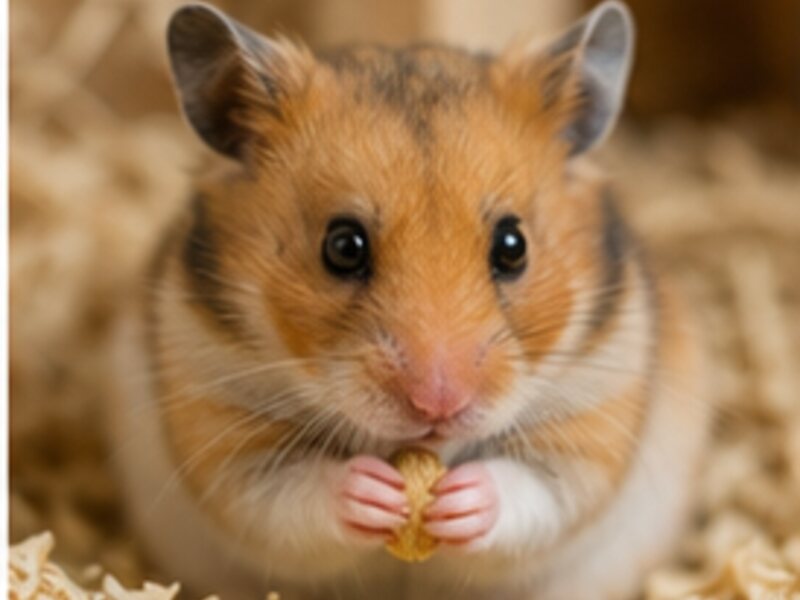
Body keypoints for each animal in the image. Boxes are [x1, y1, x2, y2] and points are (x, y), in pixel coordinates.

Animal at [109, 2, 711, 599]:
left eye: (513, 245)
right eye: (343, 246)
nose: (437, 406)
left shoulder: (593, 422)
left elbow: (535, 491)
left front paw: (460, 500)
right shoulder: (221, 427)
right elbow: (287, 494)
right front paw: (374, 492)